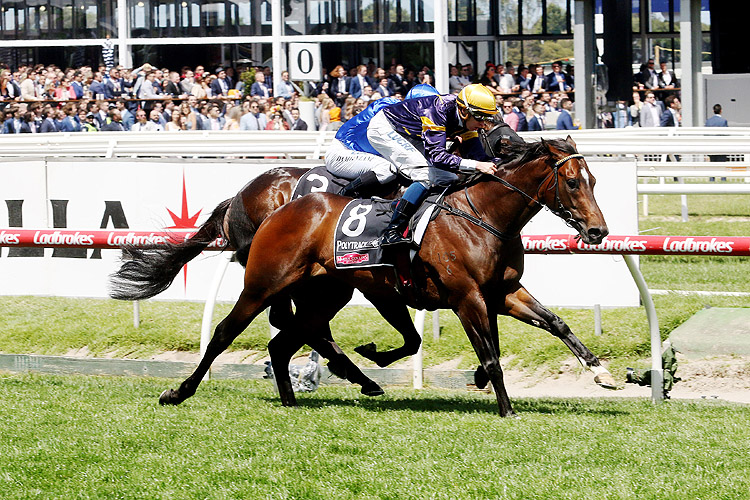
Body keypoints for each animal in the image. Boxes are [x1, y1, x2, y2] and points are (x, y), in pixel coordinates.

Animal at [113, 135, 616, 416]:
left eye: (594, 182)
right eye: (573, 182)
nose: (598, 231)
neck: (481, 215)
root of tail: (266, 203)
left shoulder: (503, 291)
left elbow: (556, 324)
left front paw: (603, 374)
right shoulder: (465, 296)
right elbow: (490, 355)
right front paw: (506, 409)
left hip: (323, 291)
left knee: (287, 337)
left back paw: (302, 394)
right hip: (263, 284)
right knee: (225, 332)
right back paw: (179, 392)